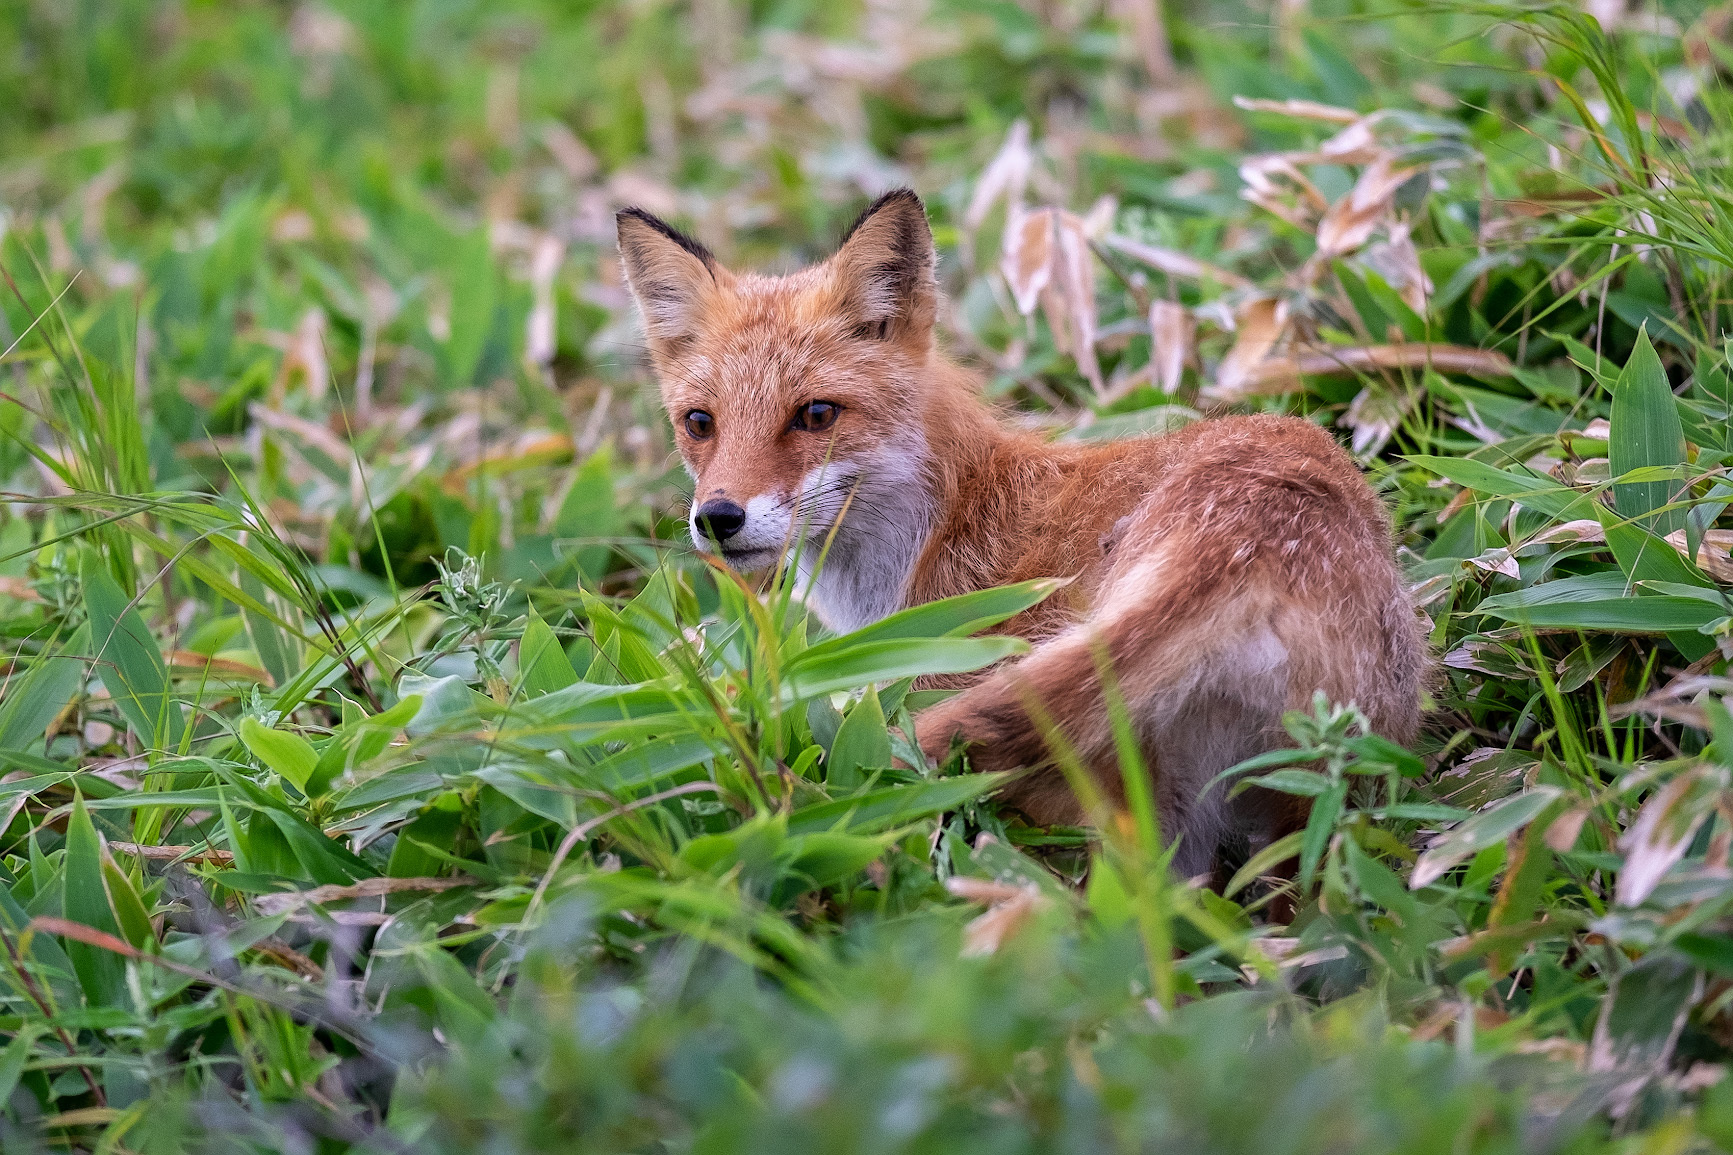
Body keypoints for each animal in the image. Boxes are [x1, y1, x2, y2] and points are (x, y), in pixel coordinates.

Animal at [616, 189, 1427, 874]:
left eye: (815, 414)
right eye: (699, 423)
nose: (718, 518)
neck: (939, 523)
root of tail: (1249, 531)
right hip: (1265, 812)